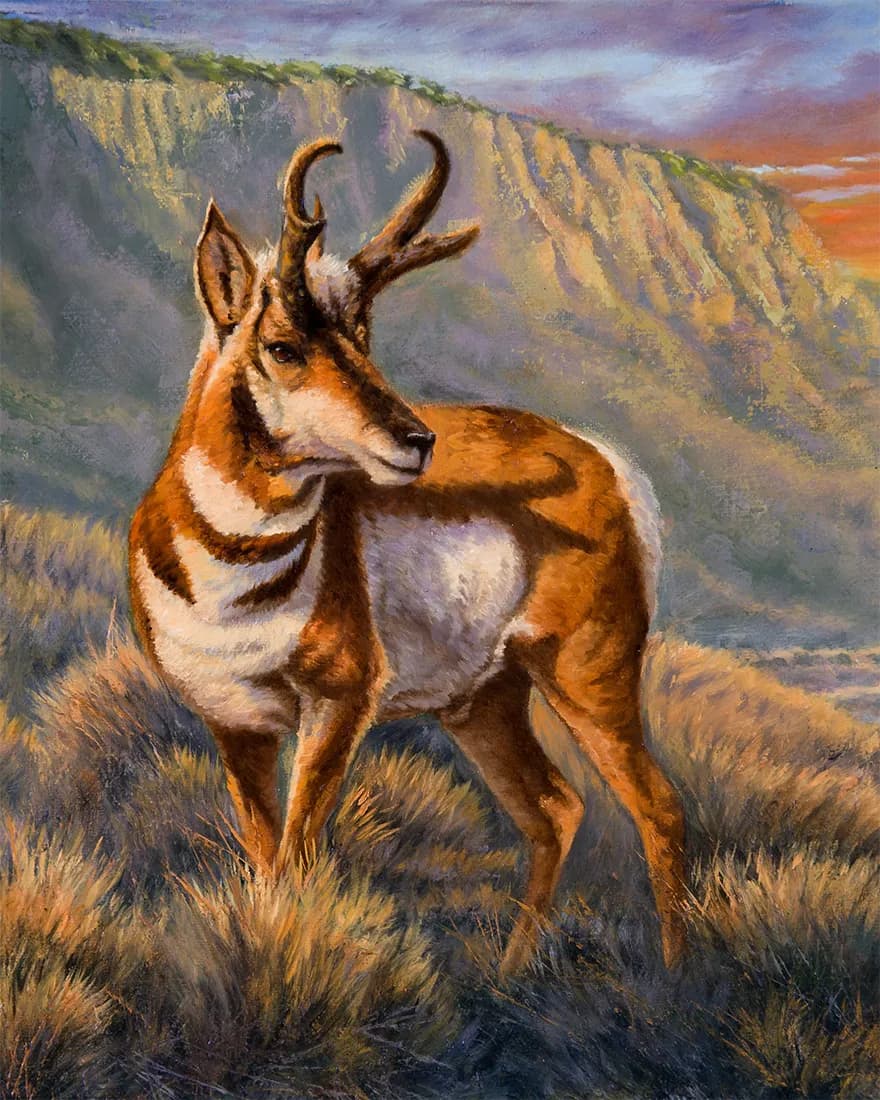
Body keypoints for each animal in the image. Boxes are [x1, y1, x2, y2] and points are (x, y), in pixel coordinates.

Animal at [129, 130, 686, 975]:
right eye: (282, 347)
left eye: (363, 340)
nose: (417, 439)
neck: (232, 573)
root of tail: (602, 459)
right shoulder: (236, 723)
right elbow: (264, 854)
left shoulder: (339, 705)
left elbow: (296, 856)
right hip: (483, 701)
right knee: (555, 808)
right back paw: (509, 974)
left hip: (587, 674)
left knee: (658, 808)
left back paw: (682, 974)